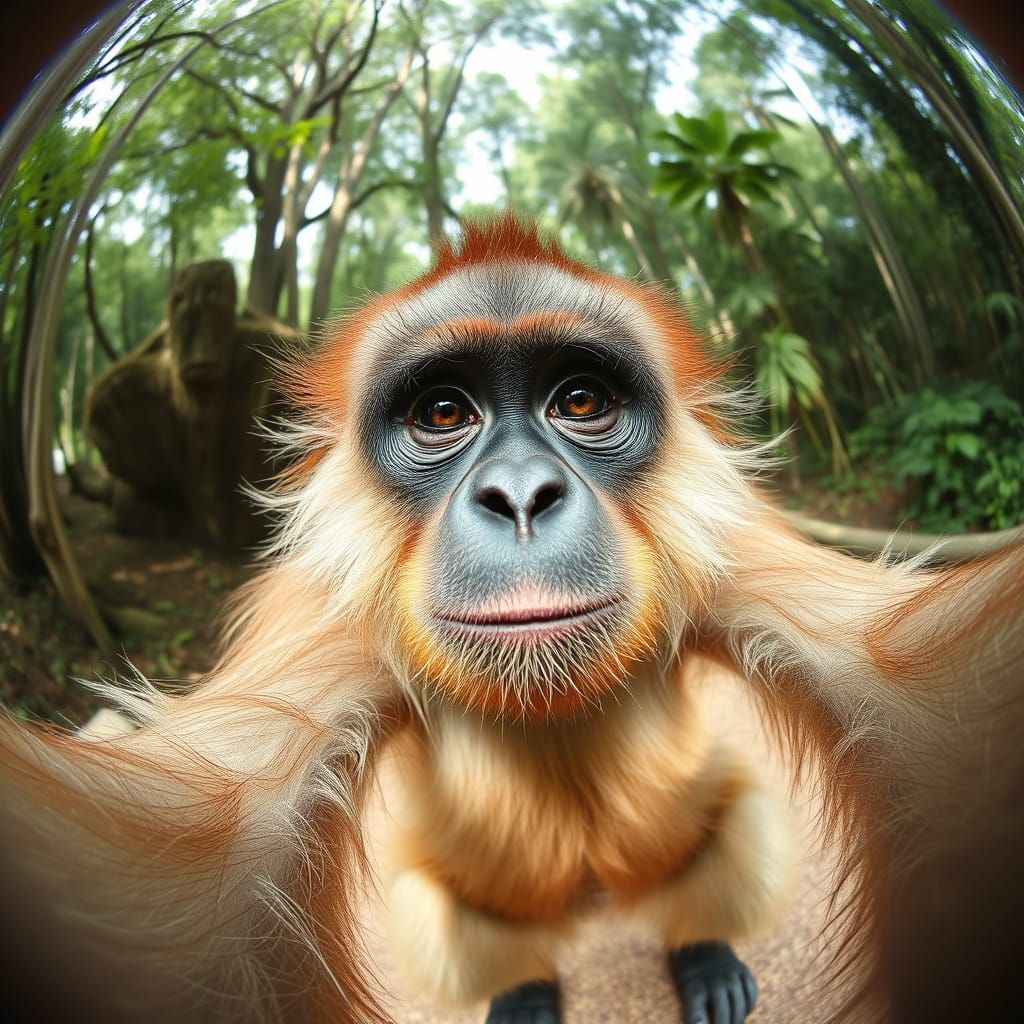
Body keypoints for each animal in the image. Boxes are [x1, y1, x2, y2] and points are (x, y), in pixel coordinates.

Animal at [0, 214, 1021, 1024]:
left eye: (581, 401)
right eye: (443, 413)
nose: (521, 493)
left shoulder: (737, 549)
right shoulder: (318, 629)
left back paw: (701, 953)